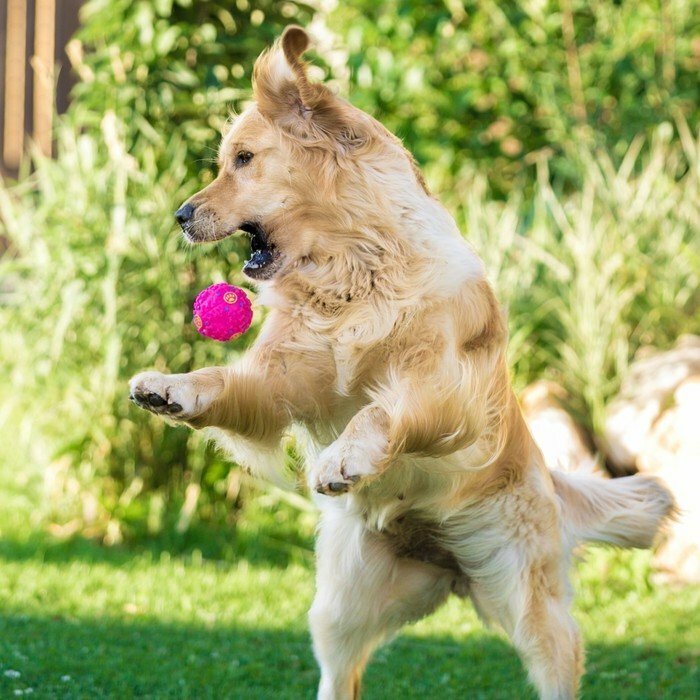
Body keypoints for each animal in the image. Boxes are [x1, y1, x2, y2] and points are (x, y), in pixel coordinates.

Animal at [129, 27, 676, 700]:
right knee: (342, 672)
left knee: (557, 655)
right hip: (342, 602)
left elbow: (380, 413)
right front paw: (168, 387)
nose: (180, 216)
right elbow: (227, 382)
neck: (354, 274)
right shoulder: (285, 379)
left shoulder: (446, 388)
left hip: (529, 600)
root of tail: (450, 565)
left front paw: (347, 458)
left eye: (244, 159)